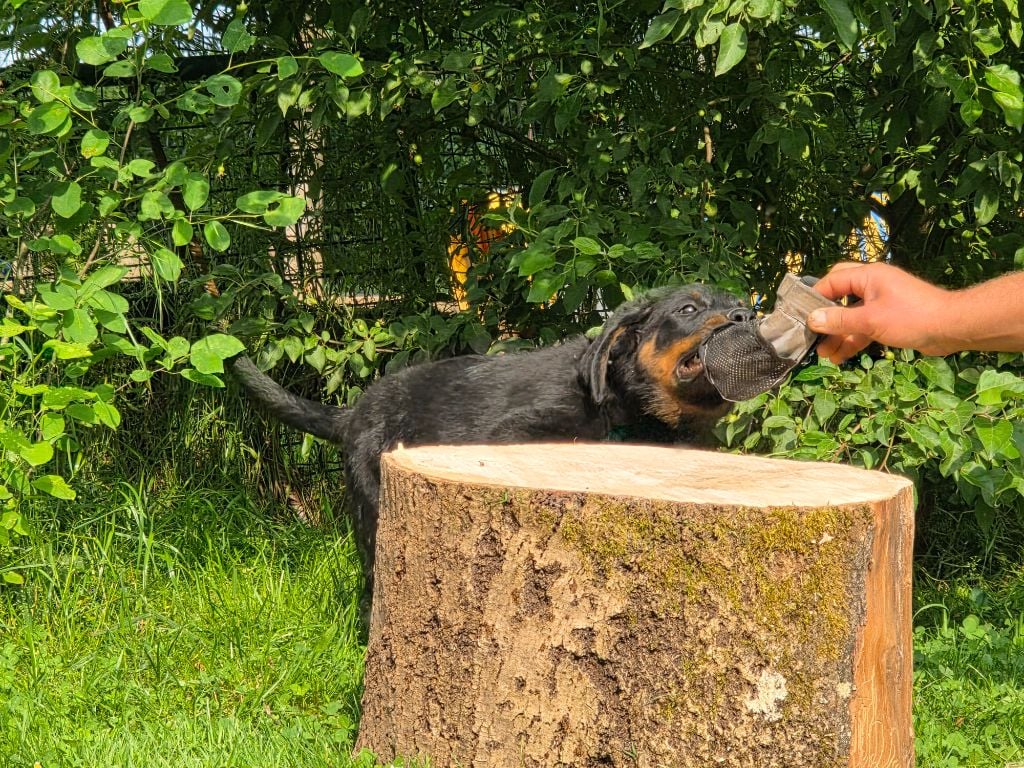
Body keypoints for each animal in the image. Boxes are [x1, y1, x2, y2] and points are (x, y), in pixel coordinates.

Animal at [232, 284, 753, 580]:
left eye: (742, 305)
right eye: (688, 309)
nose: (746, 317)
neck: (626, 401)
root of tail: (353, 412)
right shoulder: (517, 430)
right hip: (371, 502)